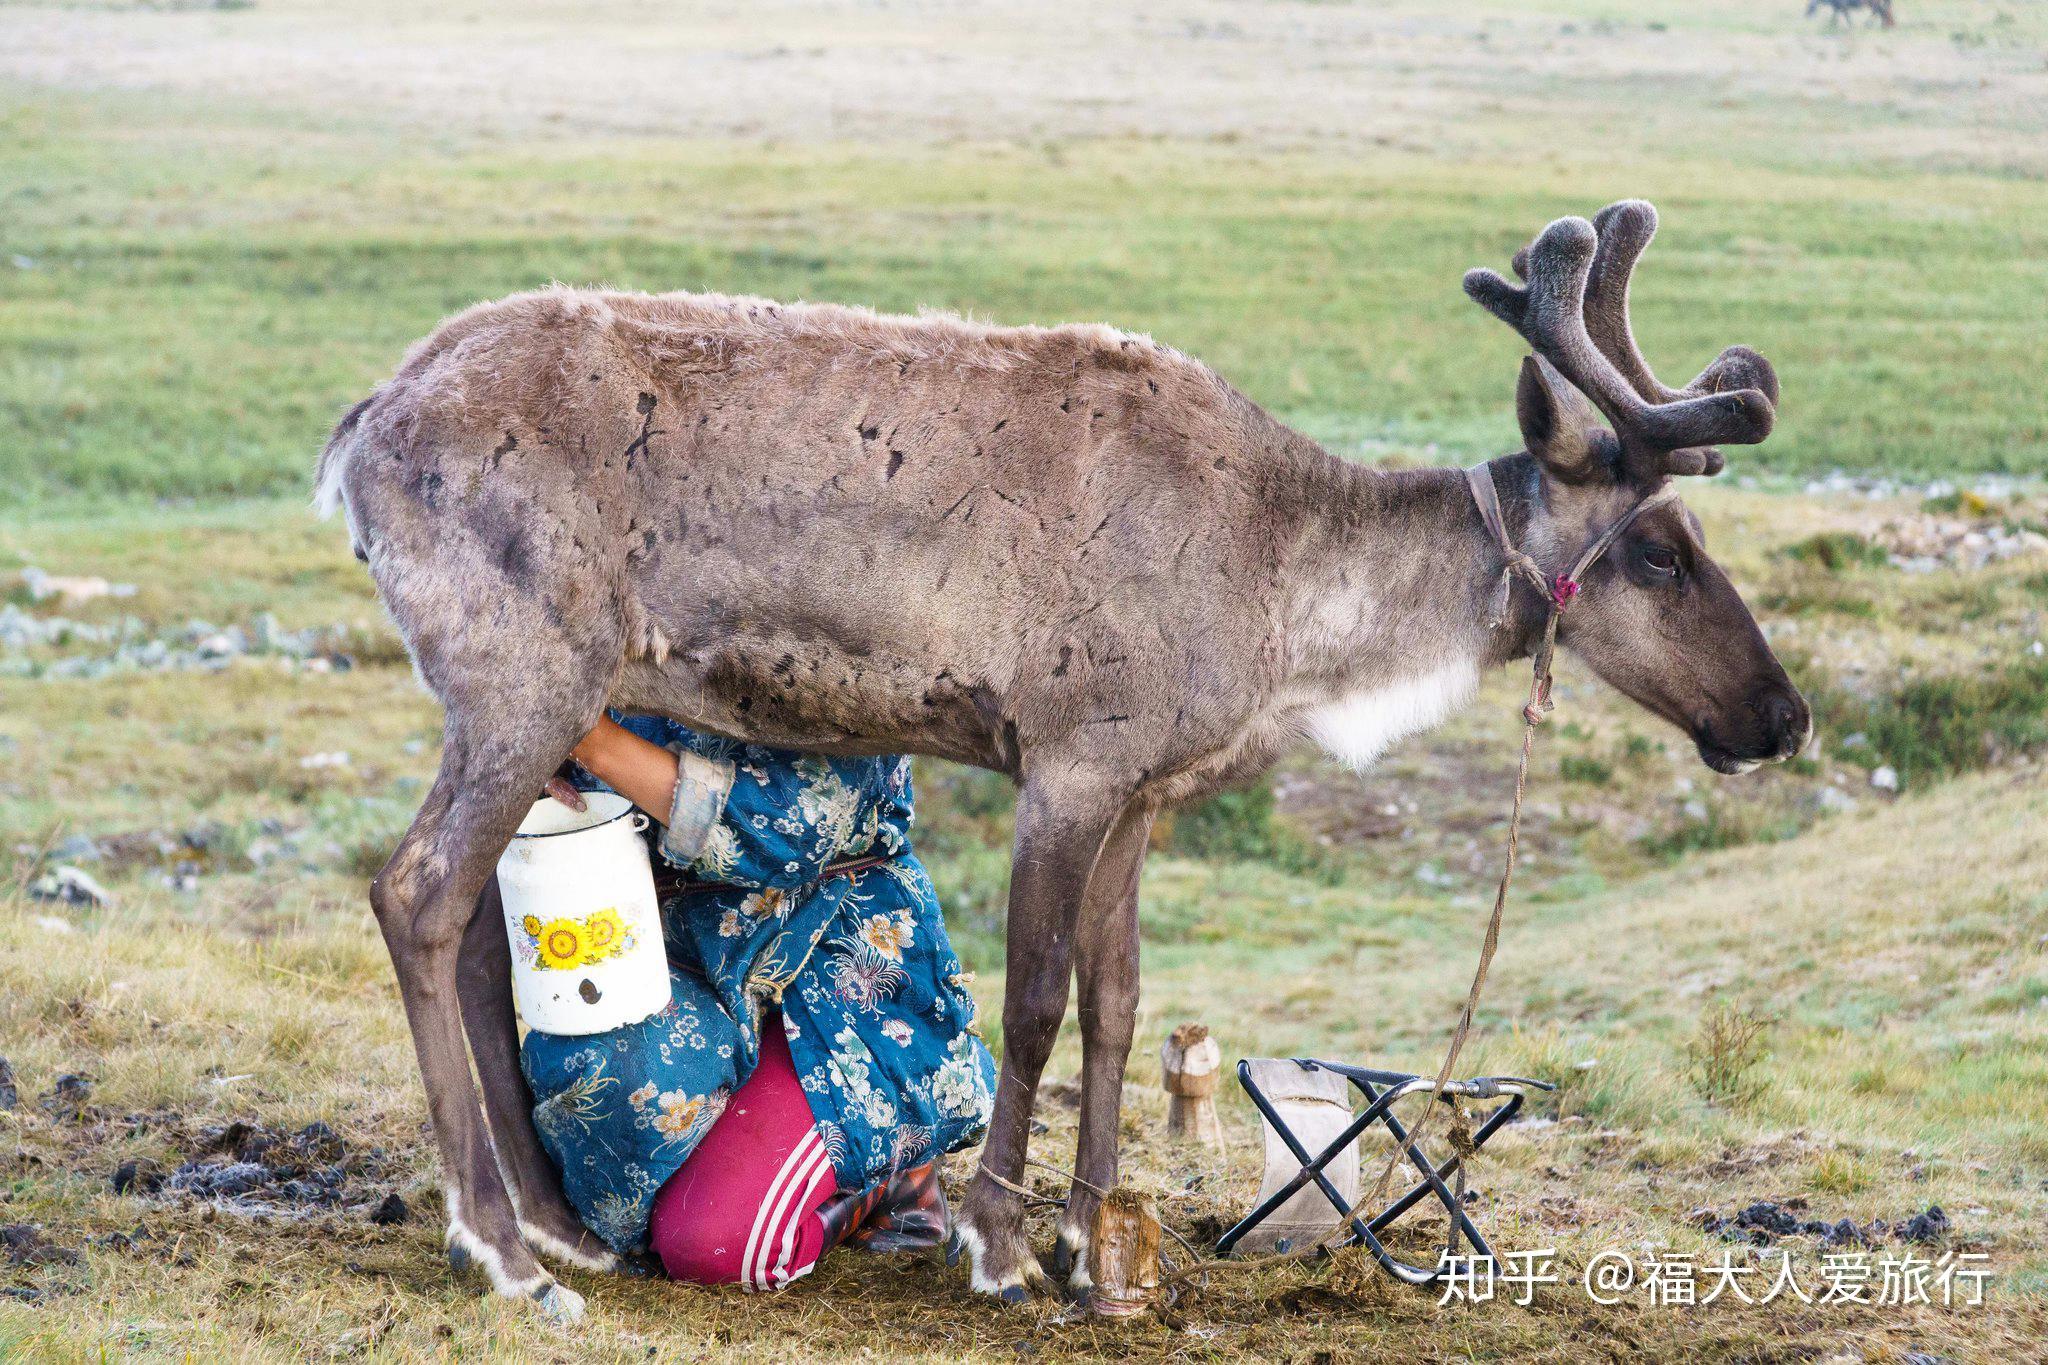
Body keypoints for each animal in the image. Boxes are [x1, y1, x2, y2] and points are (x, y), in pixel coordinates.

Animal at [315, 199, 1810, 1318]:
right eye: (1658, 552)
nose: (1782, 718)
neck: (1286, 598)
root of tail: (360, 425)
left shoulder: (1141, 793)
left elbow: (1120, 1003)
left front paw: (1092, 1239)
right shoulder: (1067, 763)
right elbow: (1033, 999)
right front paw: (998, 1243)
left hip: (518, 707)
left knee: (466, 920)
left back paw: (554, 1225)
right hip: (525, 675)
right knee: (419, 893)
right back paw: (500, 1248)